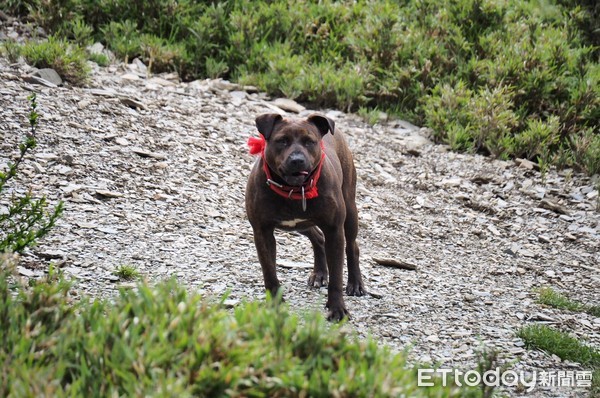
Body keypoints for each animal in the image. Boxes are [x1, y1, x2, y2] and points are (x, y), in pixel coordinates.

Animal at [245, 112, 366, 320]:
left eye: (310, 142)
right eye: (282, 141)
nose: (297, 159)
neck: (294, 190)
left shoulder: (335, 231)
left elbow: (336, 277)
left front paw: (337, 308)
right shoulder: (262, 232)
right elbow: (269, 272)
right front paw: (275, 305)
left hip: (349, 212)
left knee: (352, 246)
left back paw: (355, 283)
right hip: (302, 225)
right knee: (317, 237)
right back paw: (319, 273)